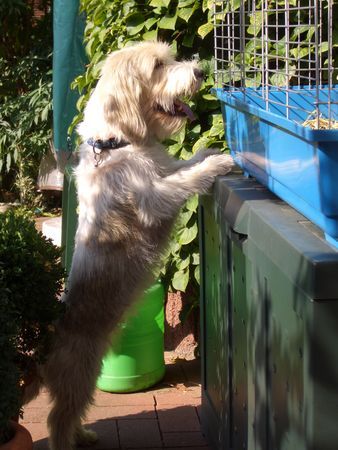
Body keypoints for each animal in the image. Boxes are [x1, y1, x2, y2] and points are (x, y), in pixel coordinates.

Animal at [39, 41, 232, 450]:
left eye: (169, 57)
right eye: (158, 66)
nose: (200, 72)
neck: (116, 144)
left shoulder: (163, 170)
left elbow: (186, 163)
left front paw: (208, 150)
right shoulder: (156, 198)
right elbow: (187, 179)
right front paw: (218, 163)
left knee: (72, 415)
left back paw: (85, 434)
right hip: (78, 375)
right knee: (57, 419)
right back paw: (68, 439)